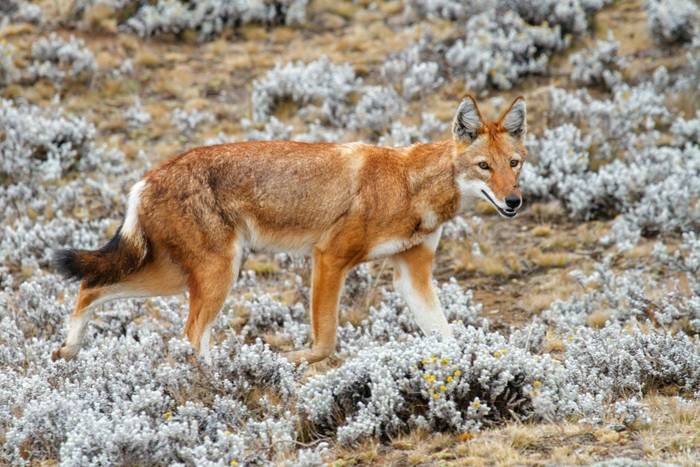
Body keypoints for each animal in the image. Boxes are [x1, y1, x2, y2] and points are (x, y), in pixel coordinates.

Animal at [53, 96, 524, 366]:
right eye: (484, 166)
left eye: (514, 164)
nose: (514, 202)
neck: (411, 186)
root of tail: (147, 178)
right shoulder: (329, 258)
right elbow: (326, 342)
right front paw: (293, 359)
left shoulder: (413, 274)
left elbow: (448, 336)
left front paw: (479, 362)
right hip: (216, 276)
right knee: (189, 335)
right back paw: (220, 381)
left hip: (179, 278)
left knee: (91, 286)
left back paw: (68, 350)